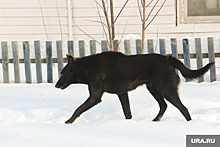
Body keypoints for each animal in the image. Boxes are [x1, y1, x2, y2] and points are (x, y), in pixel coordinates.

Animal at [55, 51, 215, 124]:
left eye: (63, 74)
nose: (56, 85)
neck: (89, 68)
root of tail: (169, 59)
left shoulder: (95, 97)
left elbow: (78, 109)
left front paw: (68, 122)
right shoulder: (122, 93)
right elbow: (127, 112)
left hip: (166, 89)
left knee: (183, 108)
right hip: (154, 88)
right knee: (163, 106)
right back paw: (155, 121)